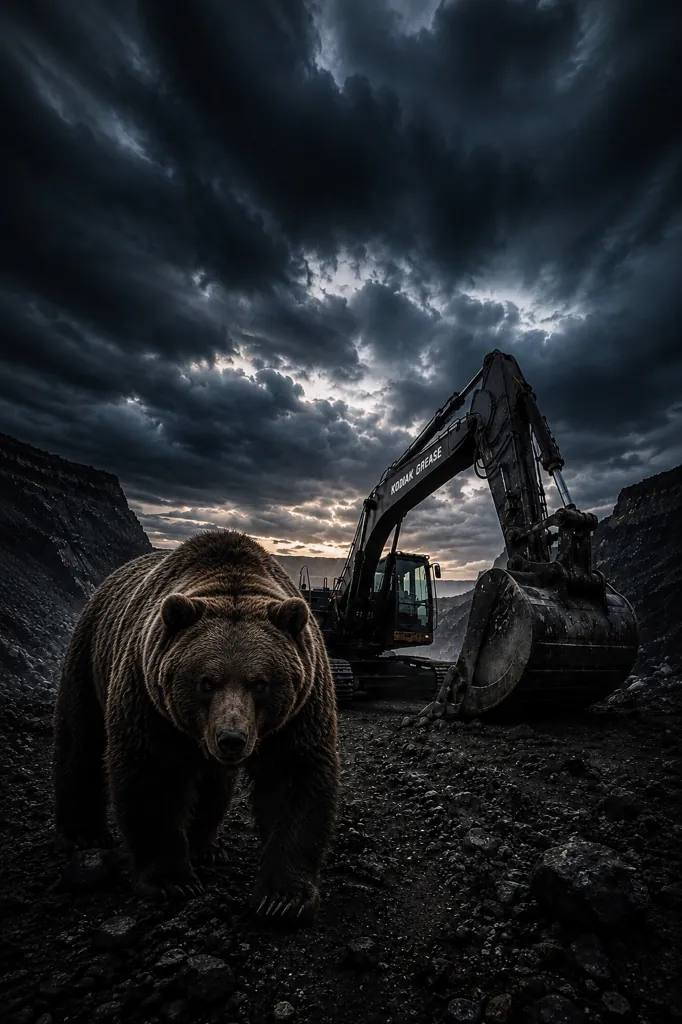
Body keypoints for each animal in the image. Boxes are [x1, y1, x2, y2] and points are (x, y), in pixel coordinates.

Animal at [52, 529, 340, 924]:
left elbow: (295, 778)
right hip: (90, 654)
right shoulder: (148, 697)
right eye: (206, 682)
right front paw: (172, 881)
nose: (232, 739)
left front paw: (284, 897)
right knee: (81, 737)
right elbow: (151, 778)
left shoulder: (300, 708)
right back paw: (84, 834)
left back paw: (206, 846)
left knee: (212, 784)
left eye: (260, 683)